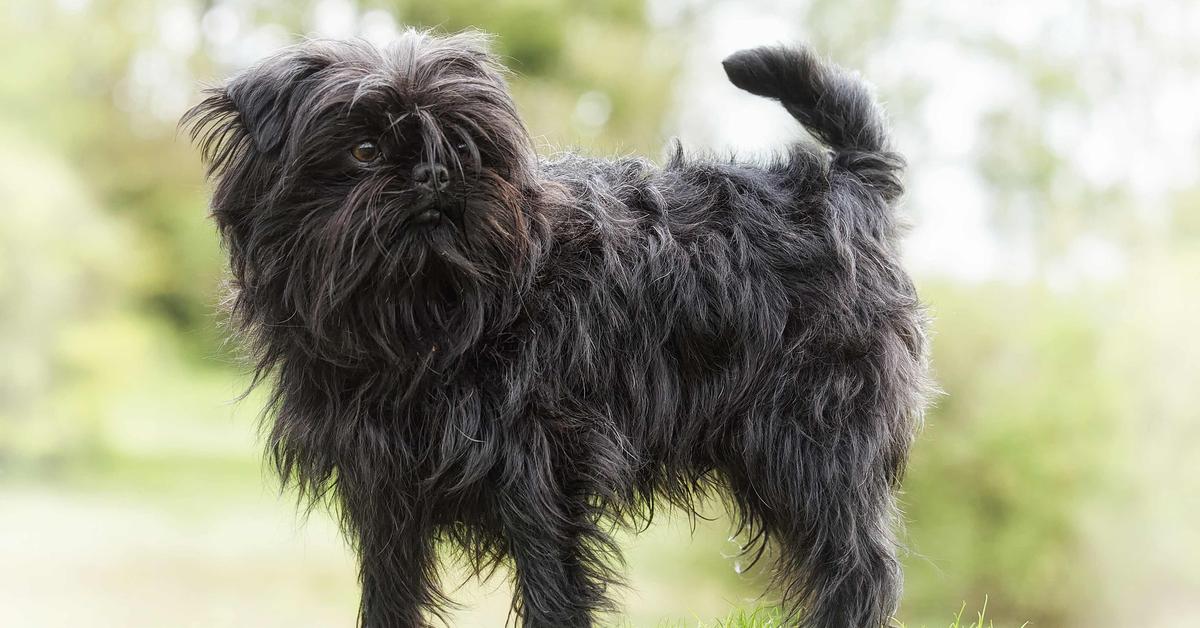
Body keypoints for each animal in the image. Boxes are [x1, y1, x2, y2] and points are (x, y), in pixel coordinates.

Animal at [182, 27, 926, 624]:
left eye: (465, 145)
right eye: (364, 150)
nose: (435, 170)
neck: (422, 320)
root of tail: (846, 186)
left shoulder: (537, 475)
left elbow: (550, 587)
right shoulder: (387, 494)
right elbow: (389, 595)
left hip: (814, 444)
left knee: (858, 569)